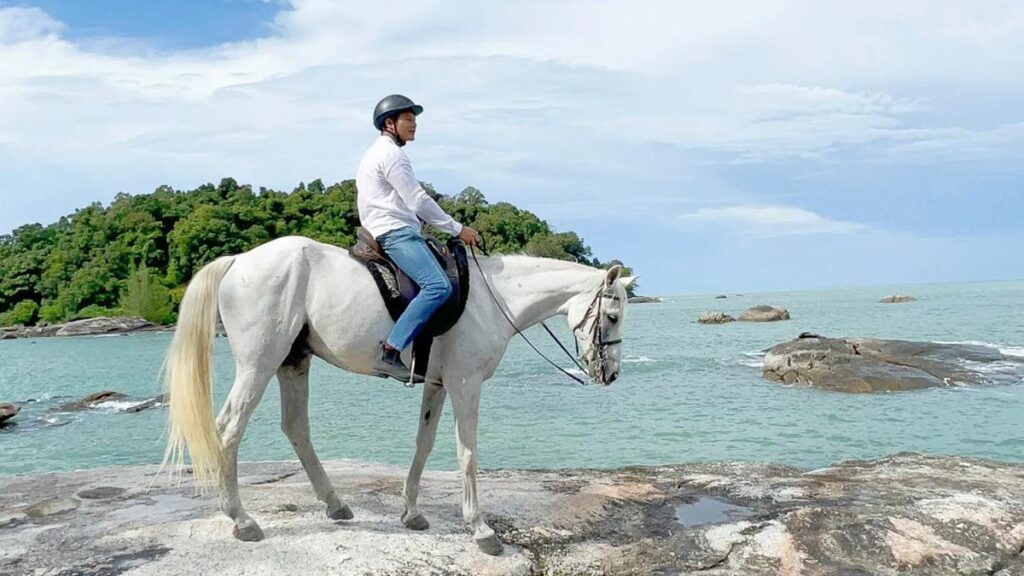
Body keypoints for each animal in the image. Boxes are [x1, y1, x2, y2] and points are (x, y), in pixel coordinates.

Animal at [161, 231, 630, 553]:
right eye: (612, 316)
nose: (611, 375)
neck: (492, 300)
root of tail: (238, 260)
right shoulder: (465, 385)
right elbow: (467, 454)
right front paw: (480, 529)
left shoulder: (438, 385)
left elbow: (424, 446)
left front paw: (412, 512)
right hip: (258, 365)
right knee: (227, 432)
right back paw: (242, 520)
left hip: (293, 362)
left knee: (296, 428)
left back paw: (334, 504)